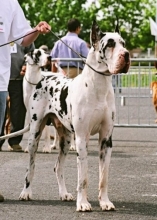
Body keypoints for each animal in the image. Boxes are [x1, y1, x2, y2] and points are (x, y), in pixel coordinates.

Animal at [0, 21, 130, 211]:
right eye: (110, 44)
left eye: (123, 43)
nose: (126, 55)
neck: (98, 86)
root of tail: (43, 78)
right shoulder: (82, 138)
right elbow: (83, 177)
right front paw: (83, 203)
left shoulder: (106, 140)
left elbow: (103, 177)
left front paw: (105, 202)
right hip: (35, 135)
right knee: (30, 166)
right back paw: (26, 192)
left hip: (66, 140)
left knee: (58, 167)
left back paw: (64, 193)